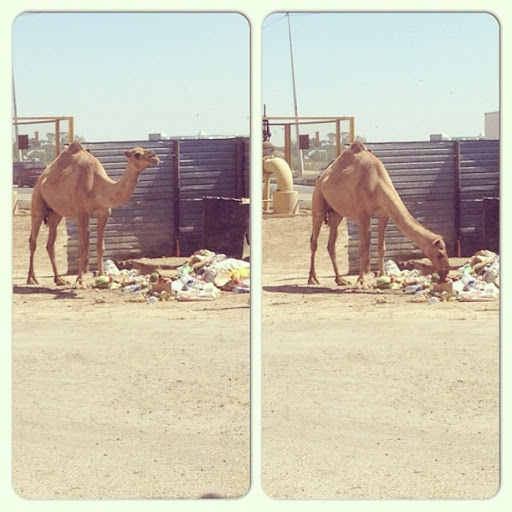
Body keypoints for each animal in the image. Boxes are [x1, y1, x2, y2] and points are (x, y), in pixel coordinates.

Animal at [26, 142, 161, 286]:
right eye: (136, 154)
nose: (154, 156)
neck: (97, 185)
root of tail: (41, 178)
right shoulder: (81, 213)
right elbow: (83, 246)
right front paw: (80, 281)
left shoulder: (104, 212)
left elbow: (100, 246)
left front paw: (102, 276)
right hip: (37, 202)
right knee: (33, 240)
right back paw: (31, 279)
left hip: (56, 213)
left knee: (50, 244)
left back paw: (59, 280)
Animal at [308, 141, 448, 288]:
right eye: (439, 254)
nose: (446, 271)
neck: (377, 181)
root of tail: (321, 177)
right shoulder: (362, 213)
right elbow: (364, 246)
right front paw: (361, 282)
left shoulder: (384, 212)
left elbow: (381, 246)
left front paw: (382, 276)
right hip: (318, 201)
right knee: (314, 240)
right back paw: (312, 278)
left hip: (336, 213)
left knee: (331, 243)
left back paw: (340, 280)